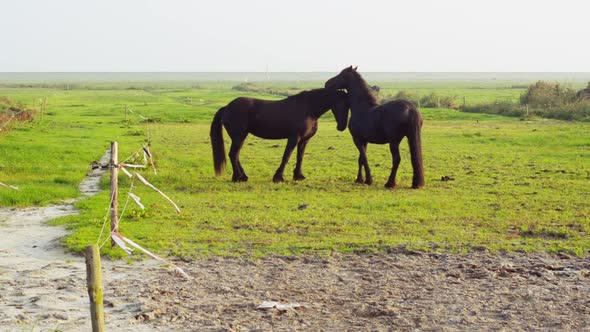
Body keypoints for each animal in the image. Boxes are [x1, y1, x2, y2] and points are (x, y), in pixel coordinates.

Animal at [212, 88, 350, 182]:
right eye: (343, 104)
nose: (342, 127)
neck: (308, 108)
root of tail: (227, 107)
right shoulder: (294, 138)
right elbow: (286, 156)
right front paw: (278, 177)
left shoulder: (304, 140)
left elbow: (300, 157)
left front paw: (298, 176)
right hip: (239, 136)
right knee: (233, 154)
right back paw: (238, 178)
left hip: (240, 137)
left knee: (236, 155)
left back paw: (242, 176)